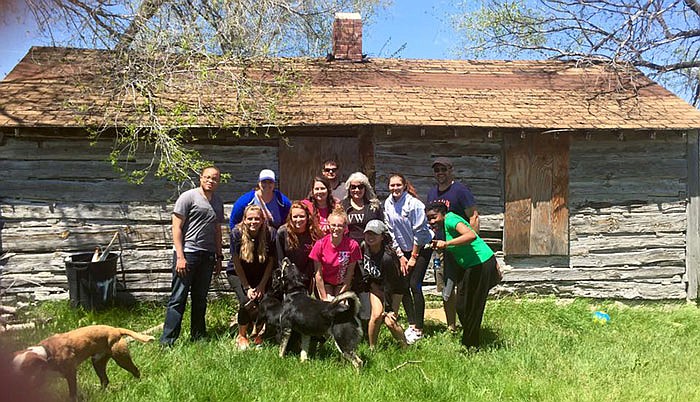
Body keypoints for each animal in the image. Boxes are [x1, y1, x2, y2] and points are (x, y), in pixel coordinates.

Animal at [11, 326, 154, 400]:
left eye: (25, 369)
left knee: (135, 370)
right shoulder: (37, 379)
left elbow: (72, 393)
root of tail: (115, 329)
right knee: (105, 380)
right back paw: (99, 394)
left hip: (121, 358)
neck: (47, 353)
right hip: (97, 362)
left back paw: (139, 383)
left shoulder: (71, 373)